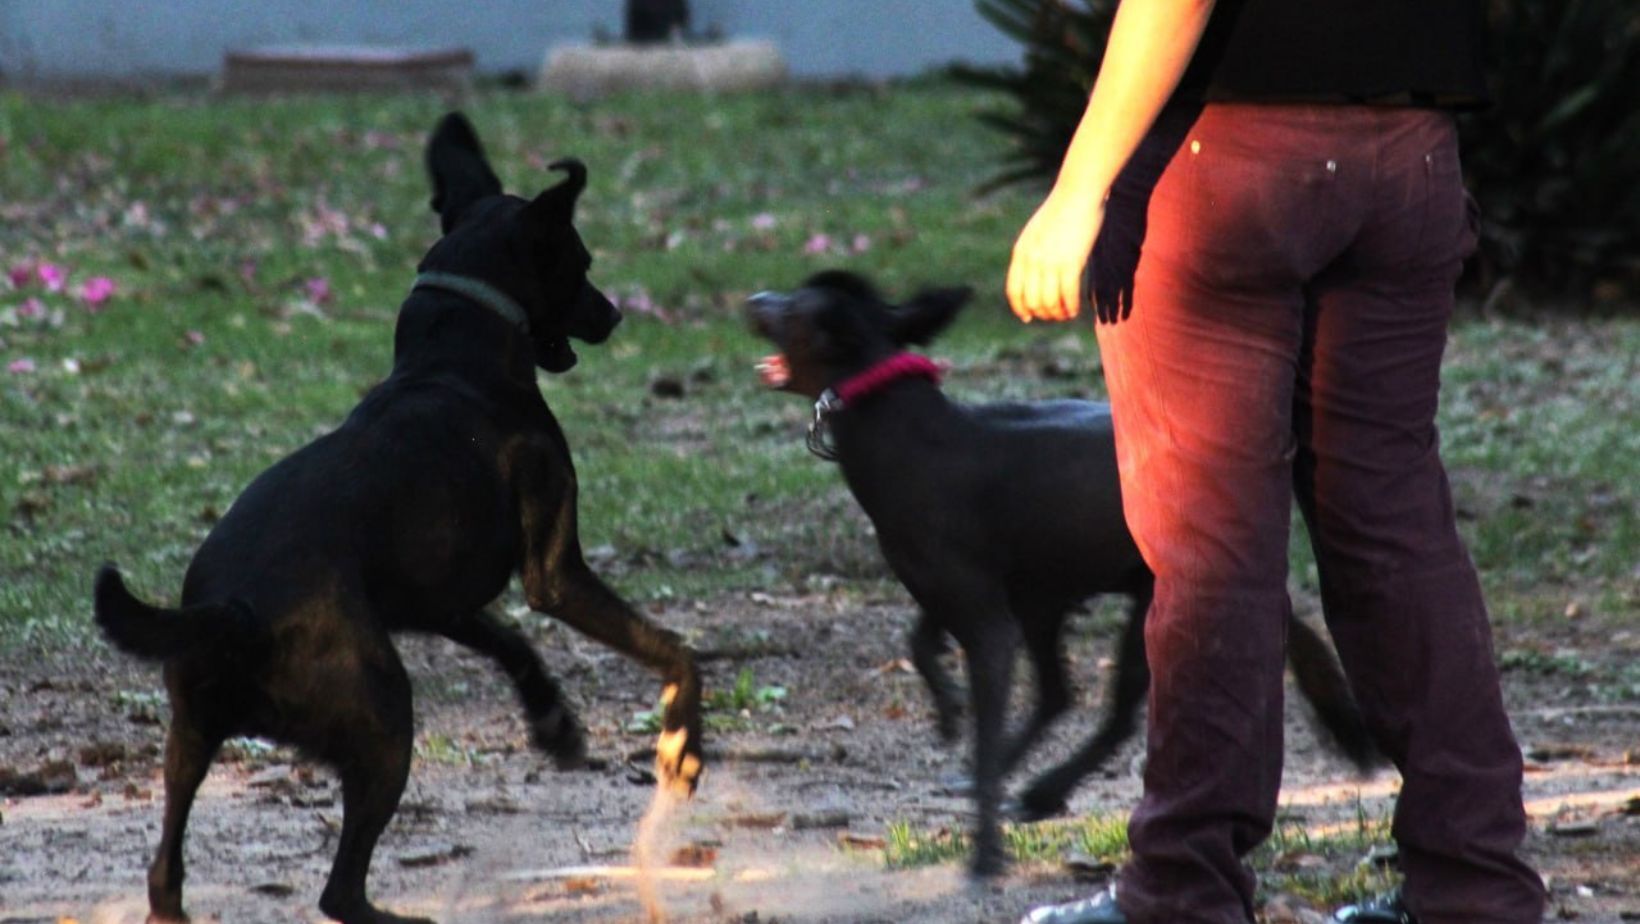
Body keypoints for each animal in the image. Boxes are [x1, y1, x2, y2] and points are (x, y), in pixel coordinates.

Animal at [93, 114, 701, 924]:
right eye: (581, 261)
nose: (613, 314)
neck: (452, 354)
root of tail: (235, 613)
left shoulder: (433, 602)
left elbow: (511, 642)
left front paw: (555, 723)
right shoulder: (556, 574)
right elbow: (672, 649)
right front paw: (683, 744)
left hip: (189, 735)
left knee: (165, 870)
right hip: (383, 715)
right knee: (339, 890)